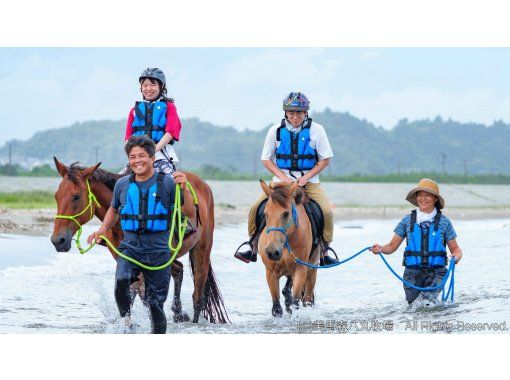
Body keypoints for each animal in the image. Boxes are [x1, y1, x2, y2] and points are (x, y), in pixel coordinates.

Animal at [50, 157, 229, 324]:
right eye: (56, 196)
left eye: (76, 197)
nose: (58, 240)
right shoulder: (124, 259)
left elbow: (141, 295)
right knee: (178, 270)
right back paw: (178, 313)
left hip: (201, 252)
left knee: (198, 296)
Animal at [258, 180, 318, 316]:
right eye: (265, 213)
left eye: (286, 213)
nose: (272, 252)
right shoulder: (271, 272)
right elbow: (276, 308)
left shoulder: (301, 270)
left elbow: (295, 303)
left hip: (312, 271)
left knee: (307, 299)